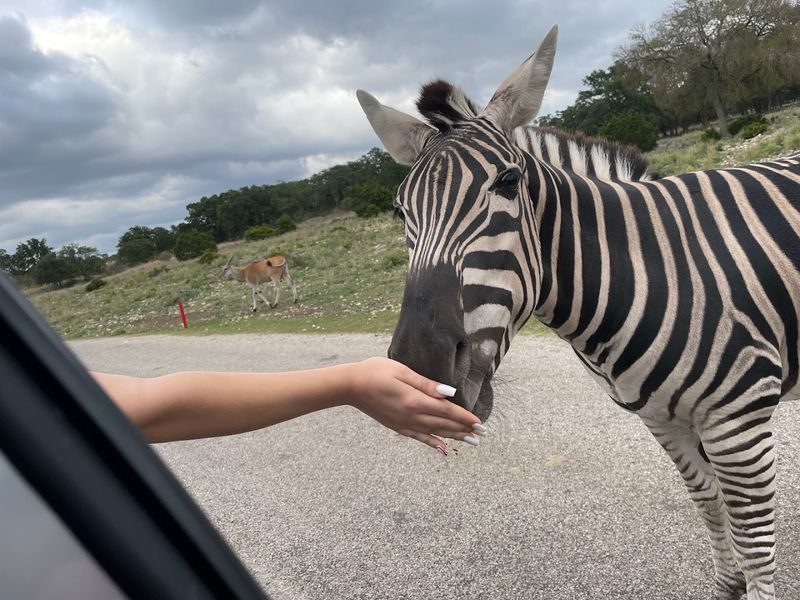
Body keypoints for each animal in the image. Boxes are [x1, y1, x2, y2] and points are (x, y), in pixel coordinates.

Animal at [357, 25, 800, 600]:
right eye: (399, 211)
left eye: (508, 184)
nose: (420, 368)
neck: (642, 274)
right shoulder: (664, 421)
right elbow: (709, 504)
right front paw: (728, 586)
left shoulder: (738, 419)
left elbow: (755, 544)